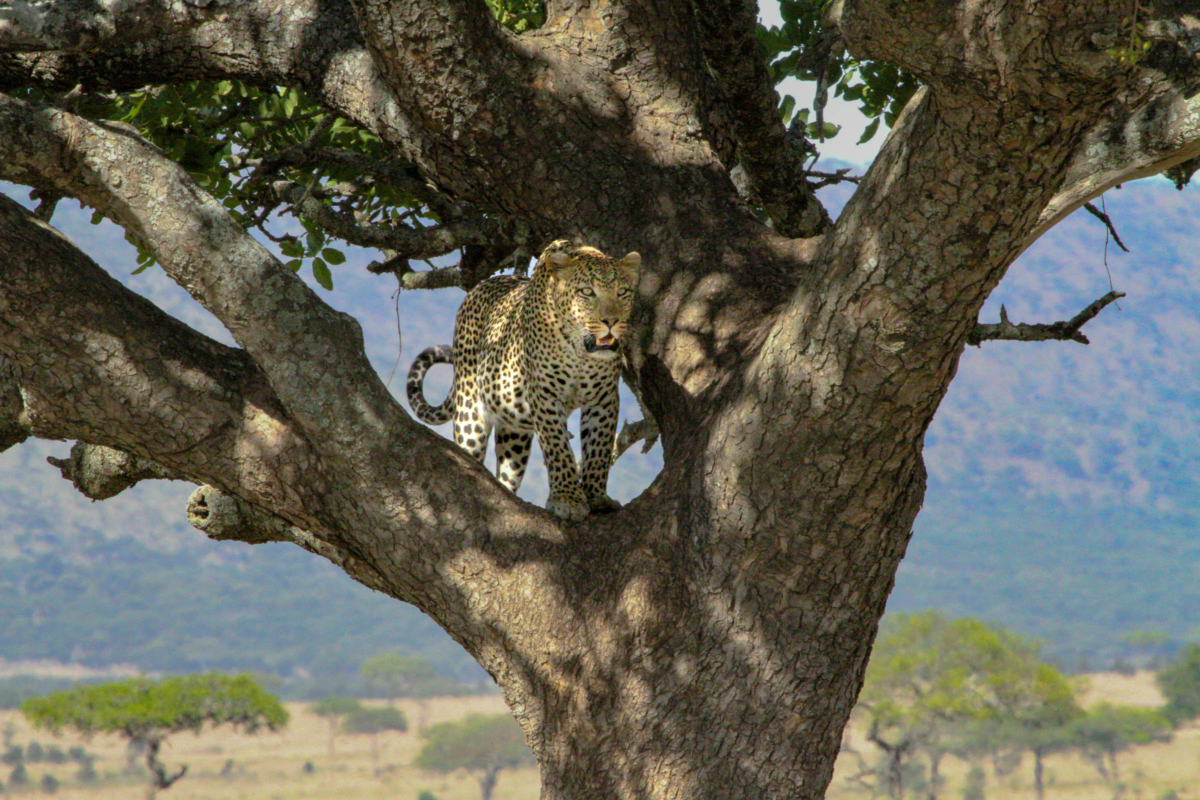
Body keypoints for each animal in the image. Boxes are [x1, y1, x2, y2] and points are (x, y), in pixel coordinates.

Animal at [407, 240, 641, 521]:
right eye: (587, 292)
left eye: (622, 292)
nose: (611, 322)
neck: (581, 353)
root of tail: (480, 286)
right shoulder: (545, 395)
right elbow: (558, 447)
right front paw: (568, 499)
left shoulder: (604, 398)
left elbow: (598, 448)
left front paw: (596, 497)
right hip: (470, 415)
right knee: (469, 452)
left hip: (514, 432)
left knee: (507, 474)